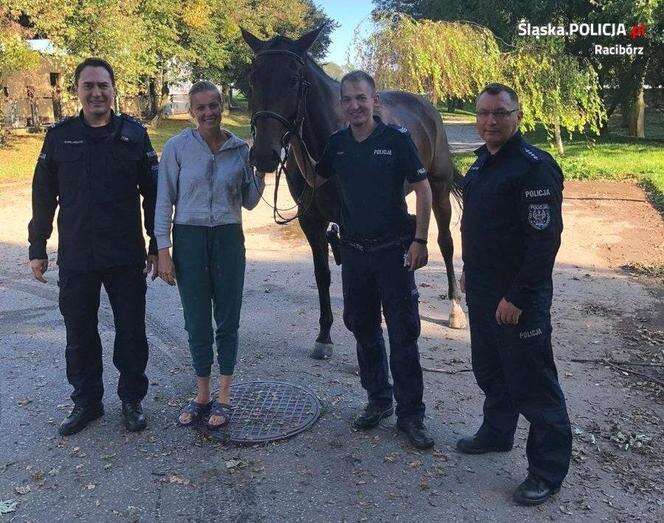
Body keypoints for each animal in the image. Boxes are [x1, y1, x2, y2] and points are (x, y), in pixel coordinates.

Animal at [241, 25, 464, 360]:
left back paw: (455, 309)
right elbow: (323, 274)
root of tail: (426, 107)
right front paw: (324, 336)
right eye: (253, 78)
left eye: (293, 80)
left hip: (437, 187)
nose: (265, 155)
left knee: (446, 243)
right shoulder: (311, 220)